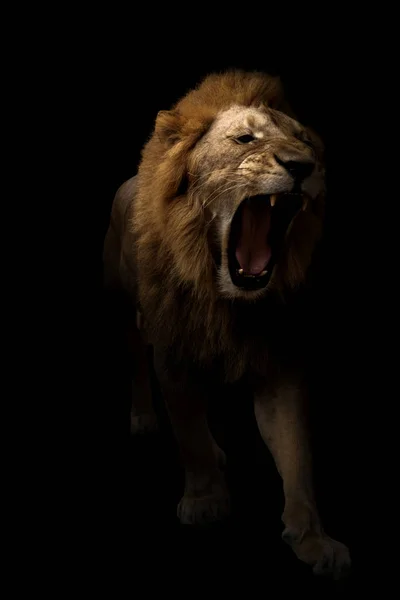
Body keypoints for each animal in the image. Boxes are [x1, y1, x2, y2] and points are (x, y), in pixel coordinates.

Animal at [102, 69, 350, 576]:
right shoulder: (173, 353)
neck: (227, 301)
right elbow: (188, 430)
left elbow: (296, 453)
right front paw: (205, 500)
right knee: (137, 365)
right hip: (120, 305)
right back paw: (143, 418)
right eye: (243, 139)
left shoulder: (279, 363)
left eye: (305, 142)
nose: (303, 166)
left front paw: (314, 540)